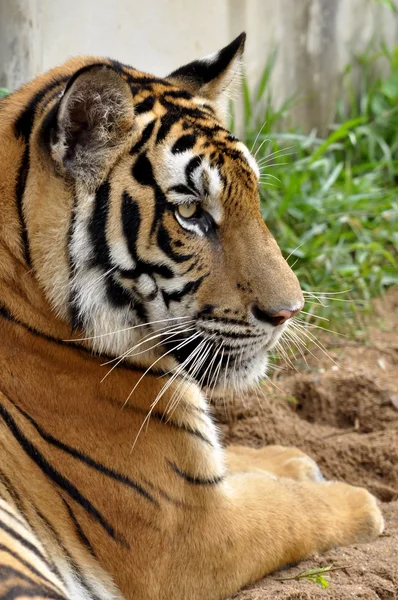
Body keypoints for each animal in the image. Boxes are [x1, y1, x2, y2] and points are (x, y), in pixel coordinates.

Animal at [0, 31, 384, 600]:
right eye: (190, 212)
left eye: (254, 196)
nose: (289, 312)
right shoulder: (190, 532)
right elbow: (292, 511)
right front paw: (360, 500)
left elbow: (237, 457)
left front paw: (291, 460)